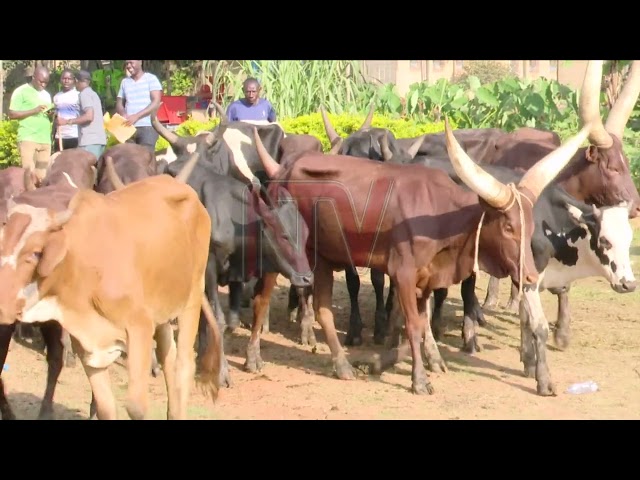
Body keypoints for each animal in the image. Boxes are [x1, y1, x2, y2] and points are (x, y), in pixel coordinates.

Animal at [0, 151, 222, 420]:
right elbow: (106, 407)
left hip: (192, 297)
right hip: (162, 310)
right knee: (168, 360)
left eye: (35, 253)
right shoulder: (88, 345)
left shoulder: (139, 327)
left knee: (183, 366)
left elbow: (136, 407)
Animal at [251, 112, 592, 394]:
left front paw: (383, 362)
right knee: (262, 299)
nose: (532, 275)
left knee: (323, 309)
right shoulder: (401, 274)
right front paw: (419, 379)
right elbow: (414, 326)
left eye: (531, 223)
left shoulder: (427, 280)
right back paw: (254, 356)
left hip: (323, 259)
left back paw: (343, 365)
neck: (441, 216)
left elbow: (418, 324)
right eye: (508, 227)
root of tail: (283, 170)